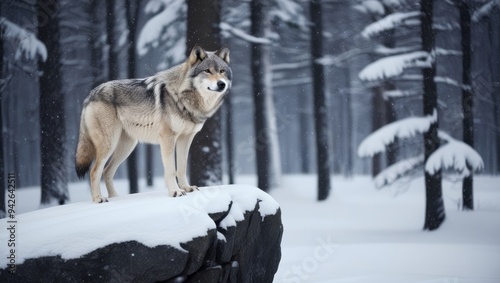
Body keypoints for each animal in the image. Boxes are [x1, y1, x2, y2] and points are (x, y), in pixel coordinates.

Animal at [75, 45, 231, 203]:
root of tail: (90, 95)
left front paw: (187, 188)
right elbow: (171, 170)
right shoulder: (168, 138)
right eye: (207, 71)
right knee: (94, 171)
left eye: (222, 71)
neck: (183, 96)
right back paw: (98, 199)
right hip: (109, 144)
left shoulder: (186, 138)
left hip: (127, 146)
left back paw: (115, 198)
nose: (221, 84)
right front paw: (175, 192)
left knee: (106, 171)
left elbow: (181, 168)